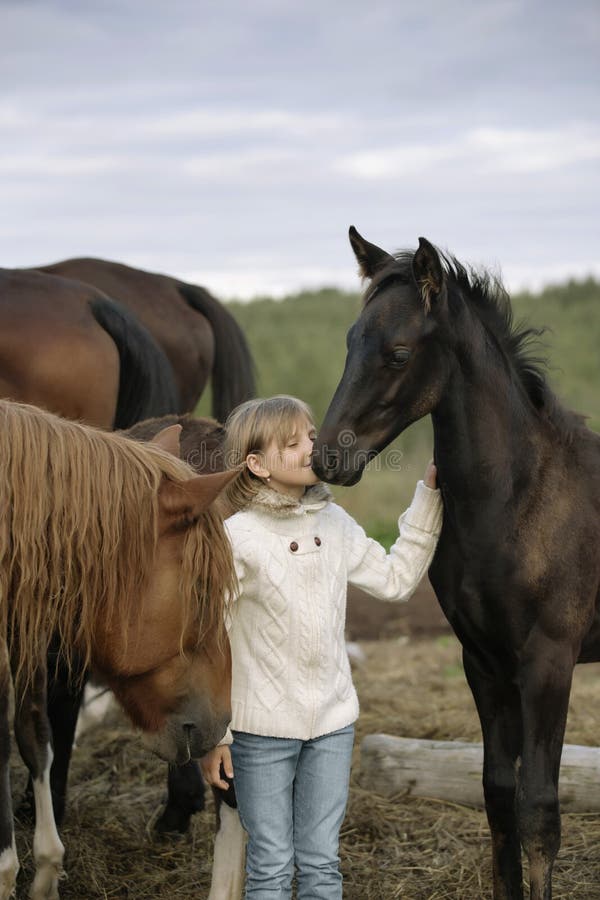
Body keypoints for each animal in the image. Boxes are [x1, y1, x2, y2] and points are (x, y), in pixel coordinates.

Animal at [314, 230, 600, 900]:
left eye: (397, 353)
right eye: (349, 341)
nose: (326, 456)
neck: (516, 498)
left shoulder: (549, 661)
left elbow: (539, 808)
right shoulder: (483, 661)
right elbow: (498, 794)